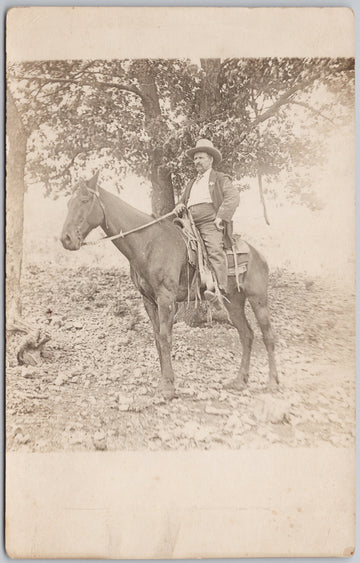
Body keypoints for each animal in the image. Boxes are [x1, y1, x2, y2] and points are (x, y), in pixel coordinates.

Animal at [60, 174, 278, 398]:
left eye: (85, 200)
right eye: (68, 203)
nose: (66, 239)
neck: (149, 243)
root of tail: (258, 254)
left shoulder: (166, 299)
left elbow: (165, 338)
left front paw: (168, 387)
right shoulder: (149, 301)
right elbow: (157, 339)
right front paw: (165, 381)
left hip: (258, 299)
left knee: (268, 336)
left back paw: (272, 383)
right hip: (233, 302)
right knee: (247, 335)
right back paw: (239, 381)